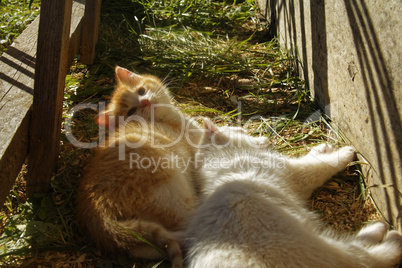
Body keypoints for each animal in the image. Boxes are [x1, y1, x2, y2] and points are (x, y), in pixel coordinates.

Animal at [185, 118, 402, 268]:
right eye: (241, 130)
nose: (264, 138)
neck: (224, 158)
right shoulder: (297, 174)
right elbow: (319, 165)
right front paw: (345, 153)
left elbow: (312, 156)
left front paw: (322, 147)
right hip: (305, 245)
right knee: (359, 259)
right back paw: (390, 238)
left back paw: (375, 231)